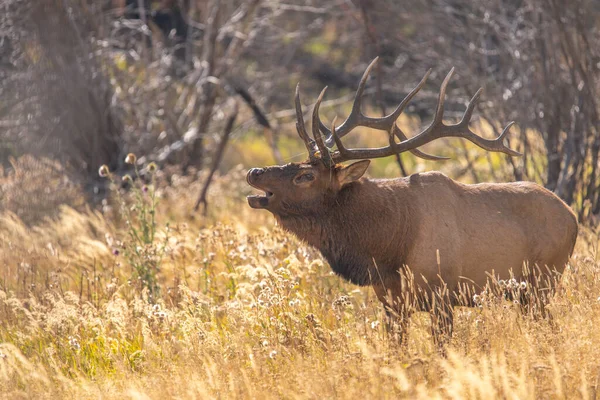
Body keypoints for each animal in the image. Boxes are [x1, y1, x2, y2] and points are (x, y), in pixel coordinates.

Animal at [244, 58, 576, 344]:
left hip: (543, 280)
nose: (254, 171)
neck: (386, 248)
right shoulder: (391, 302)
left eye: (306, 176)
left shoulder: (442, 296)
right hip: (526, 292)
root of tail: (573, 218)